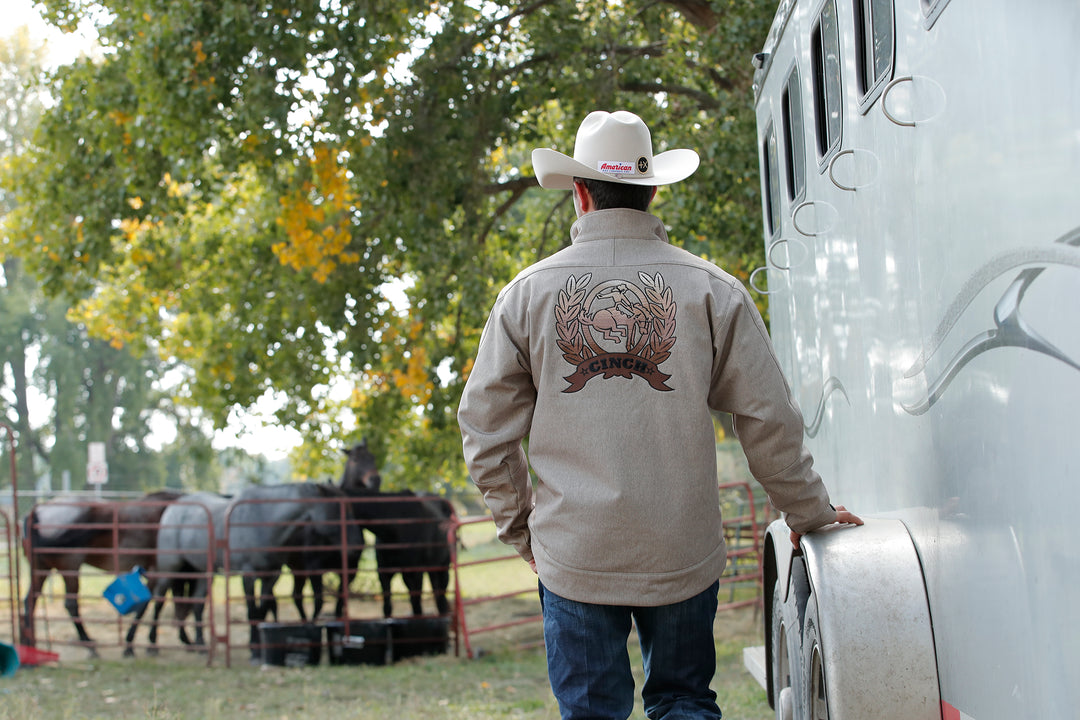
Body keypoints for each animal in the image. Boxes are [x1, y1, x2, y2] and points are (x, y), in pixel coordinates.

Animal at [20, 492, 185, 656]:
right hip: (70, 569)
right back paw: (88, 644)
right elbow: (154, 604)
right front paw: (142, 643)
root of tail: (37, 512)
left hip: (41, 570)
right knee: (71, 605)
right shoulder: (160, 570)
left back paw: (28, 645)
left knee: (30, 601)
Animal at [336, 440, 455, 621]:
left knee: (440, 601)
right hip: (432, 569)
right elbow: (387, 608)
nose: (375, 480)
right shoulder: (384, 574)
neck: (393, 526)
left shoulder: (414, 575)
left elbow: (417, 608)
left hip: (442, 568)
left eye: (373, 457)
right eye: (354, 459)